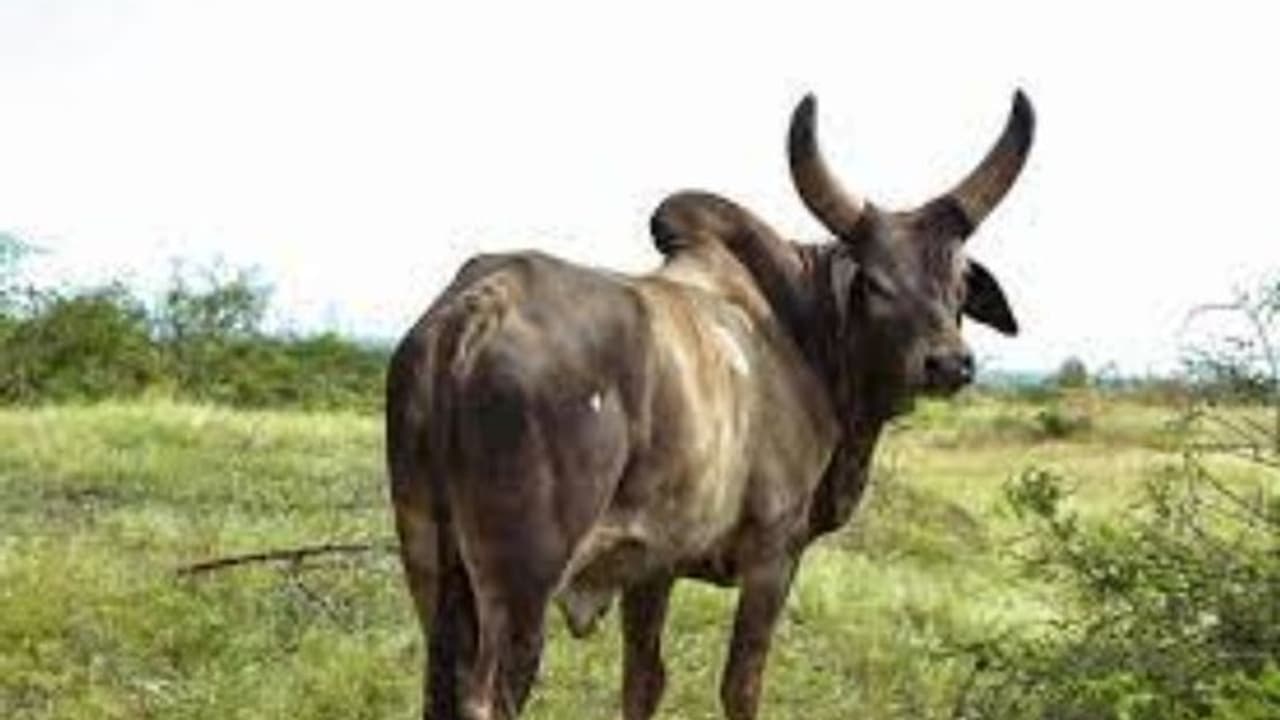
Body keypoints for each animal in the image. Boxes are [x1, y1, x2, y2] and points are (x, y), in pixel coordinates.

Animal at [386, 91, 1035, 720]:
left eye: (959, 279)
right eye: (875, 282)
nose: (948, 364)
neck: (802, 327)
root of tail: (475, 310)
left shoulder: (651, 565)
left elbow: (644, 683)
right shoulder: (774, 555)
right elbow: (740, 688)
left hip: (430, 562)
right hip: (521, 583)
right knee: (487, 695)